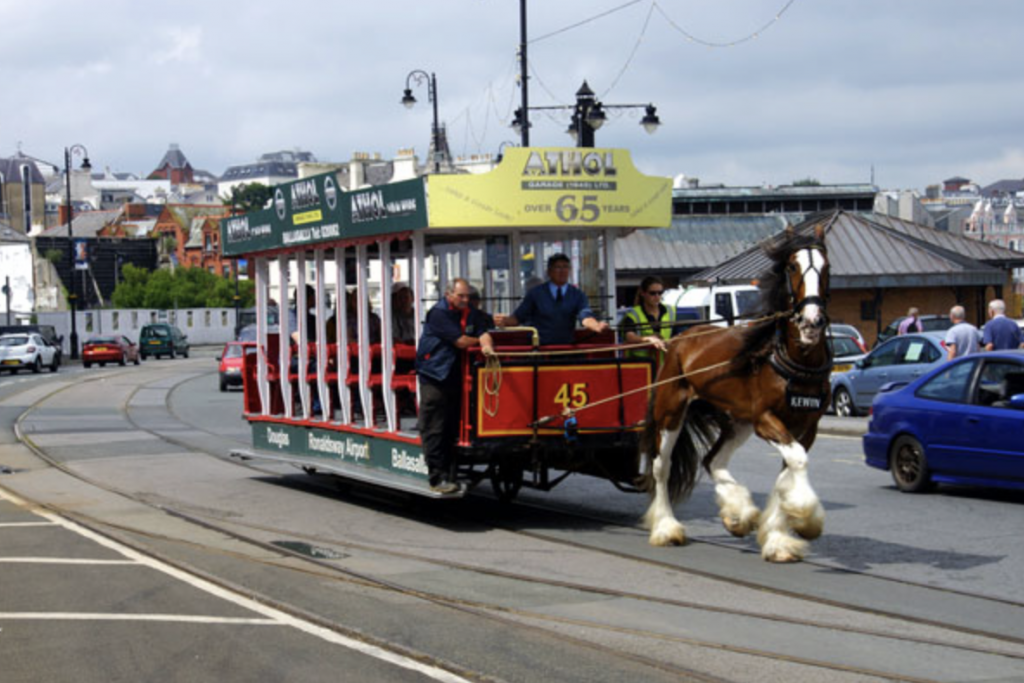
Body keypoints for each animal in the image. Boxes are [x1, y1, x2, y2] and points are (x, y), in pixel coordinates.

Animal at [638, 227, 831, 565]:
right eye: (792, 266)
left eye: (826, 266)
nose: (811, 321)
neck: (797, 361)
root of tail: (681, 338)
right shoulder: (766, 420)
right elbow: (797, 460)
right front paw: (807, 520)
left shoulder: (806, 426)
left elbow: (789, 471)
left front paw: (778, 538)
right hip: (671, 411)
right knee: (662, 467)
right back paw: (666, 527)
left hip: (738, 421)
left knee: (713, 460)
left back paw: (738, 514)